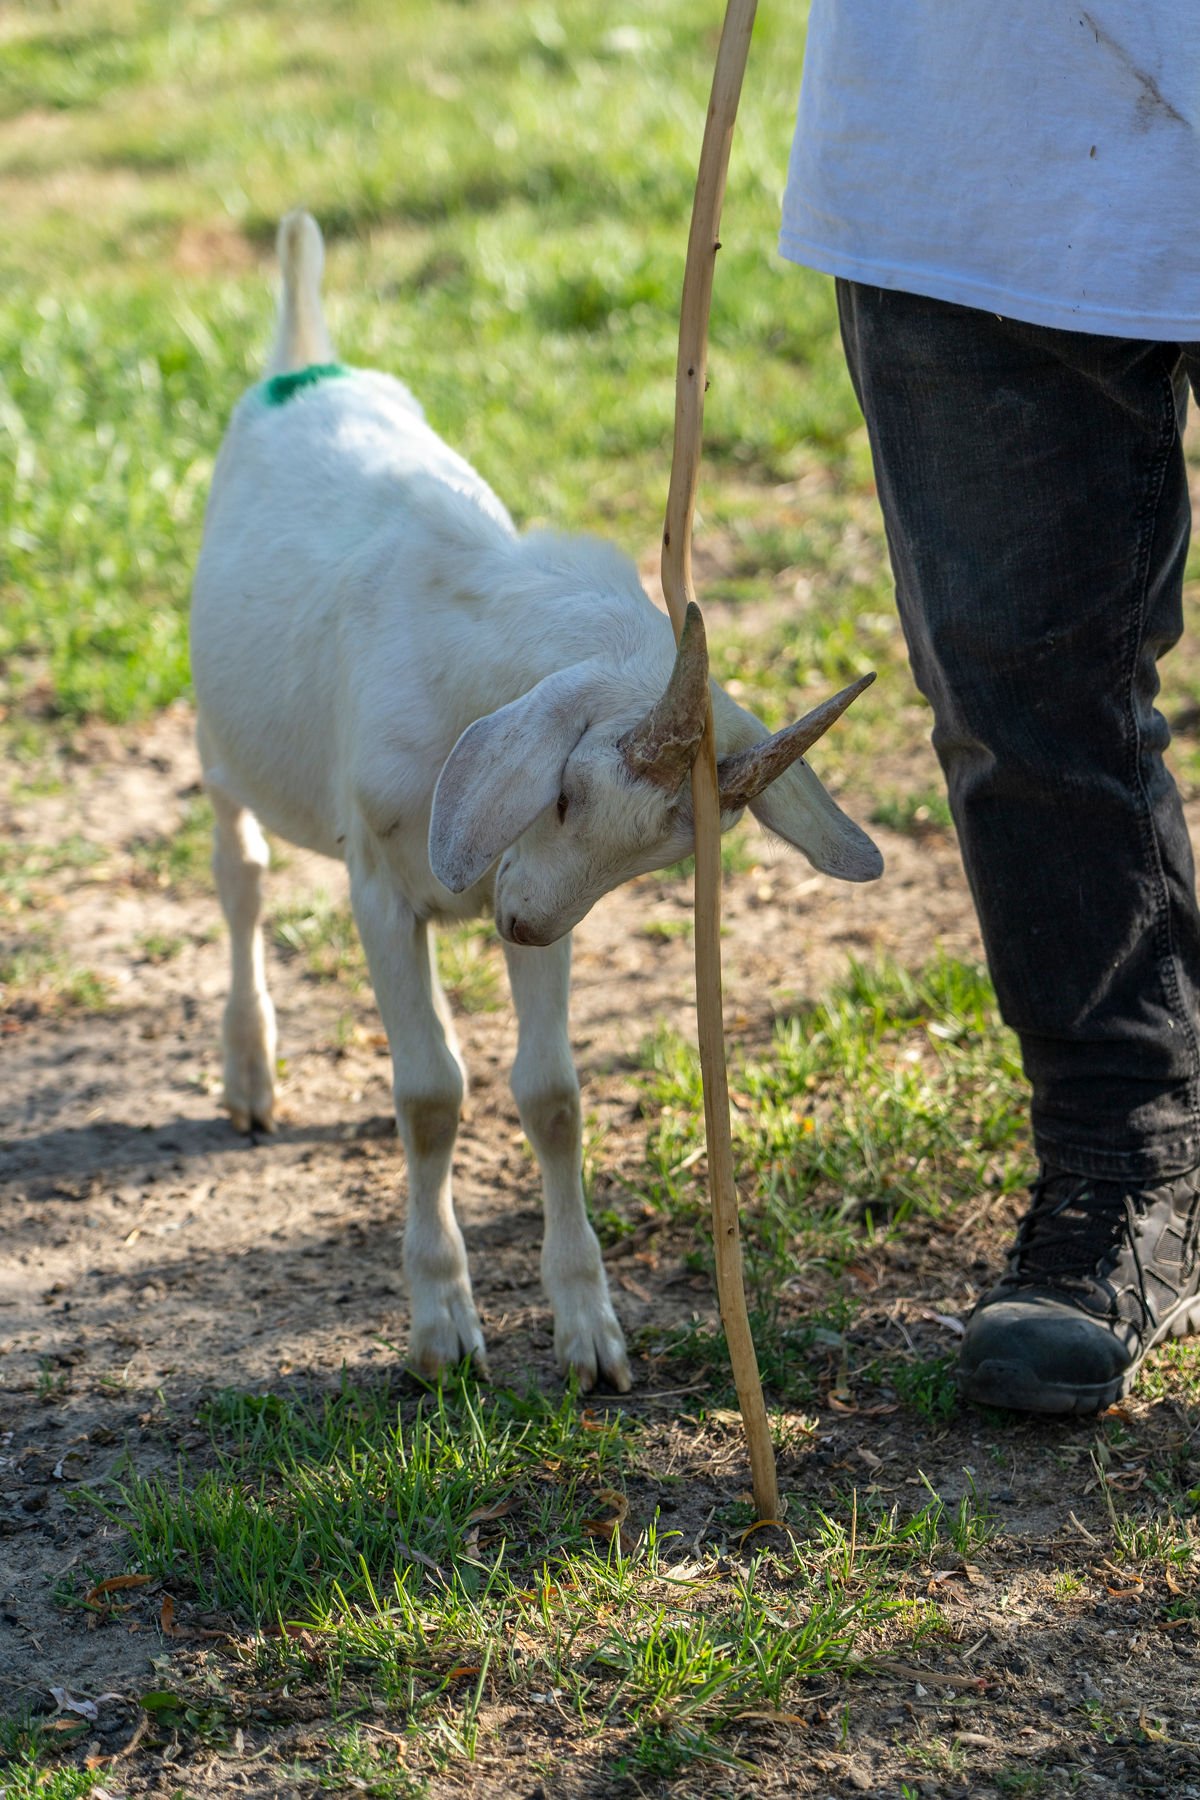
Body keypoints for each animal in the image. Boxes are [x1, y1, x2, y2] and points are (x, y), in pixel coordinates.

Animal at [190, 211, 882, 1392]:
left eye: (658, 858)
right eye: (563, 788)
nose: (512, 922)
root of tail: (303, 357)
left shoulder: (538, 895)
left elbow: (551, 1094)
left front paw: (590, 1335)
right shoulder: (382, 886)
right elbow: (429, 1095)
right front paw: (440, 1333)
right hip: (217, 737)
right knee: (241, 876)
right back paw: (249, 1075)